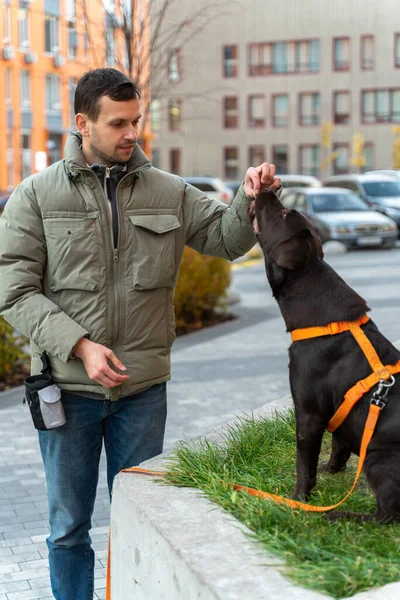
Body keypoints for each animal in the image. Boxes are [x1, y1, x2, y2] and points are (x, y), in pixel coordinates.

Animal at [248, 188, 400, 520]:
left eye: (282, 213)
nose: (268, 188)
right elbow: (339, 443)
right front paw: (332, 468)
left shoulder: (308, 414)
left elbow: (304, 464)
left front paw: (299, 500)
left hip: (378, 455)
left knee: (386, 514)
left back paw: (338, 515)